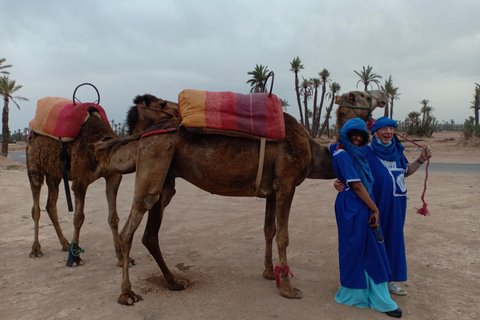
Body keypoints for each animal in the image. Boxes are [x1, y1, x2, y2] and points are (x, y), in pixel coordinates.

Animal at [24, 94, 178, 266]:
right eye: (162, 103)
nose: (179, 109)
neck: (101, 151)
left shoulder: (113, 177)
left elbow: (113, 218)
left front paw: (122, 258)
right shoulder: (80, 182)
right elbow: (78, 218)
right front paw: (75, 257)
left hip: (54, 174)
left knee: (51, 205)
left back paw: (64, 244)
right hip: (34, 167)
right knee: (36, 207)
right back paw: (36, 249)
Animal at [93, 89, 386, 304]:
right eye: (360, 94)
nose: (384, 97)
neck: (314, 152)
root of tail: (145, 133)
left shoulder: (272, 189)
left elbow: (268, 230)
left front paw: (268, 273)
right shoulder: (287, 184)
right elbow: (283, 235)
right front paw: (289, 289)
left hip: (166, 177)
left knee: (150, 233)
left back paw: (174, 282)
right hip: (155, 158)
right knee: (132, 225)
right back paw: (127, 294)